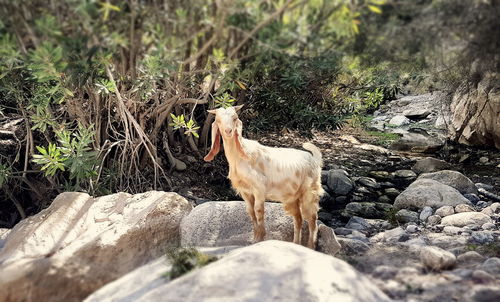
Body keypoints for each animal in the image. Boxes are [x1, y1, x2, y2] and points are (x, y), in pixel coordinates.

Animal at [203, 105, 324, 249]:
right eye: (218, 120)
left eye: (235, 118)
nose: (228, 131)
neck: (241, 157)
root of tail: (315, 159)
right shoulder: (245, 191)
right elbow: (250, 211)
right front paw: (254, 238)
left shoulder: (259, 189)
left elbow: (258, 211)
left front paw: (260, 238)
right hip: (292, 197)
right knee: (298, 219)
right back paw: (295, 244)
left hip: (309, 194)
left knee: (312, 220)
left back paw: (310, 246)